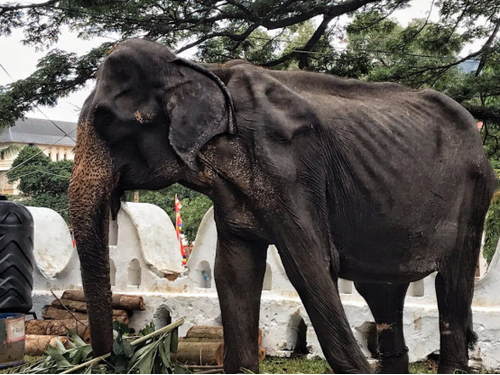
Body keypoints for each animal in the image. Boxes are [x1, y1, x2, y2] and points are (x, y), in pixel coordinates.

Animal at [69, 39, 496, 374]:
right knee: (382, 291)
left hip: (475, 193)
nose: (109, 358)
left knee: (452, 281)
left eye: (105, 120)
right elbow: (234, 272)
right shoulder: (233, 192)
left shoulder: (290, 168)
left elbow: (309, 266)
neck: (204, 72)